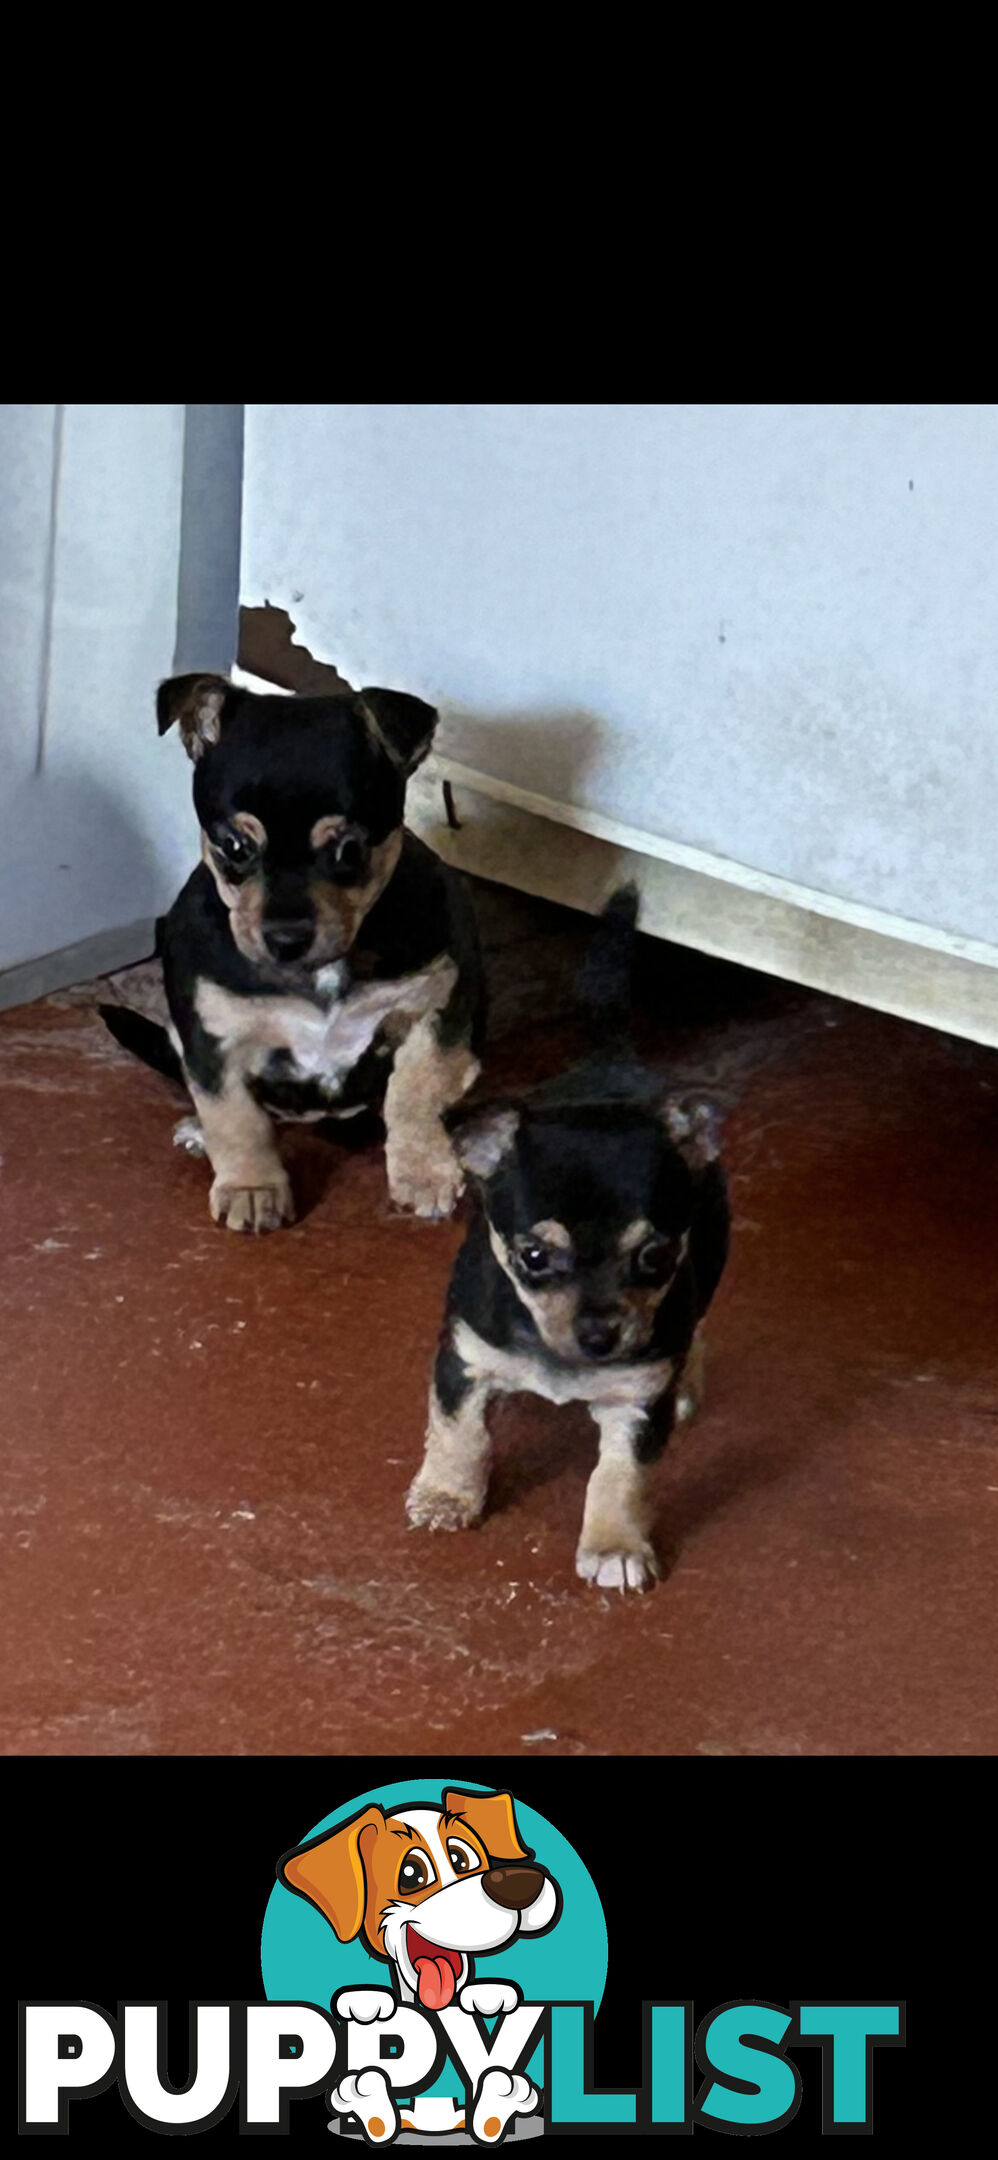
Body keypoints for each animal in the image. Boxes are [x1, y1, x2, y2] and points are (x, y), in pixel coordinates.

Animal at [101, 682, 483, 1244]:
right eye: (235, 846)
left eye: (349, 851)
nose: (285, 938)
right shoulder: (214, 1041)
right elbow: (237, 1119)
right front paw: (251, 1188)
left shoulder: (434, 1012)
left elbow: (416, 1090)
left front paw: (423, 1170)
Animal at [408, 889, 734, 1589]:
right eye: (533, 1258)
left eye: (655, 1257)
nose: (600, 1336)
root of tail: (612, 1060)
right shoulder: (464, 1362)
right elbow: (457, 1433)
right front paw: (447, 1494)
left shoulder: (636, 1406)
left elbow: (619, 1478)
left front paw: (615, 1546)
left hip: (711, 1261)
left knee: (696, 1322)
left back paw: (686, 1382)